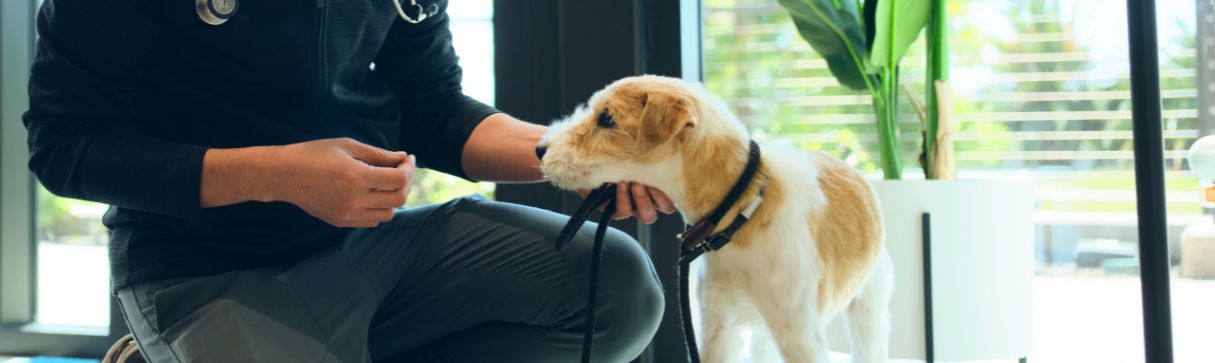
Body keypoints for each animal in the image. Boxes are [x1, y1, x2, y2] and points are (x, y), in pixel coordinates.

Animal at [539, 75, 894, 361]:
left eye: (607, 118)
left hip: (868, 311)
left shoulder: (800, 337)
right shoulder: (716, 327)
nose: (540, 149)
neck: (743, 211)